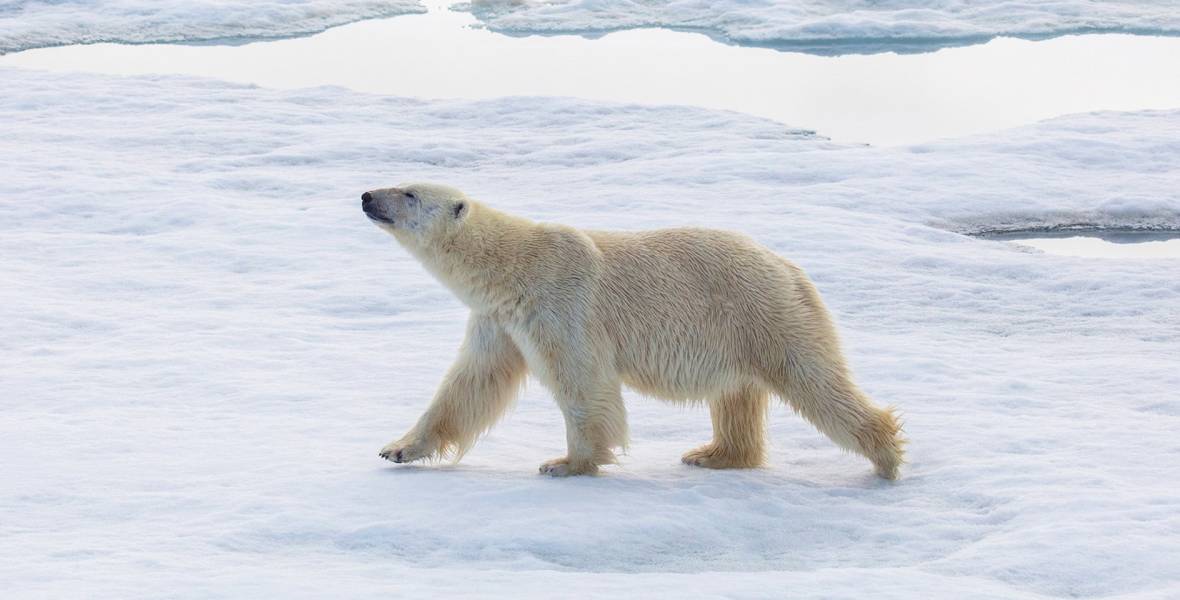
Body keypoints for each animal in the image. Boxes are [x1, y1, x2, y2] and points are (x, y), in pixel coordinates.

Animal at [362, 183, 905, 479]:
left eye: (409, 193)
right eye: (401, 183)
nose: (367, 196)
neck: (514, 267)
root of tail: (791, 268)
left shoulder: (561, 305)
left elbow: (583, 383)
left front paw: (566, 463)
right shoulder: (499, 321)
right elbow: (470, 385)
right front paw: (398, 448)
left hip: (763, 312)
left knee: (813, 380)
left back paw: (886, 456)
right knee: (736, 396)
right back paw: (712, 454)